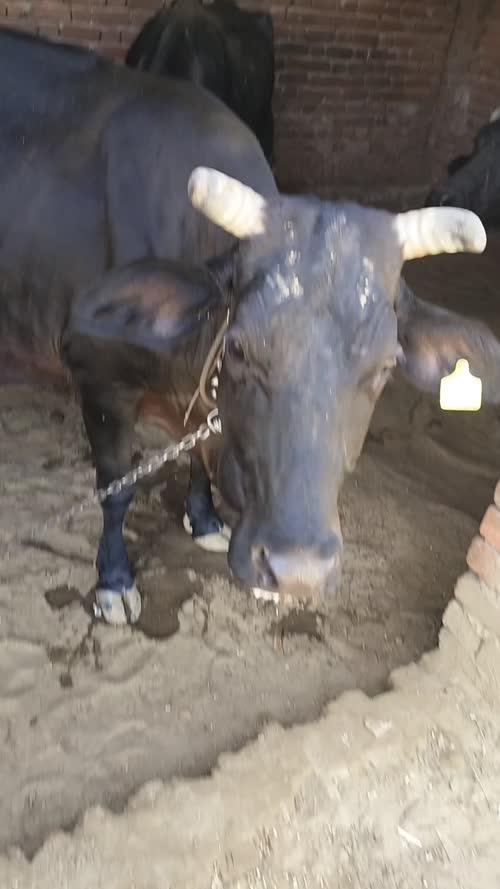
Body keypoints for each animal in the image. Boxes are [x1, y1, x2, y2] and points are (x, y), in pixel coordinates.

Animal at [2, 27, 499, 628]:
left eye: (384, 369)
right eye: (239, 348)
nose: (297, 571)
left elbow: (198, 459)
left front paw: (204, 519)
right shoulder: (97, 377)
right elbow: (115, 489)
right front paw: (115, 579)